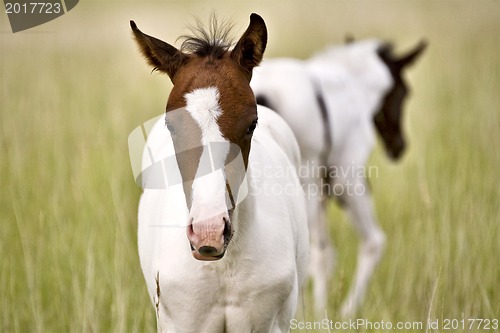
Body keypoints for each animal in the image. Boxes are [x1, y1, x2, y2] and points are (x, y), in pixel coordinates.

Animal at [250, 37, 426, 316]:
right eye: (404, 92)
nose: (399, 147)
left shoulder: (319, 189)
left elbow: (325, 254)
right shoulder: (345, 179)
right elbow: (366, 244)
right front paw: (335, 313)